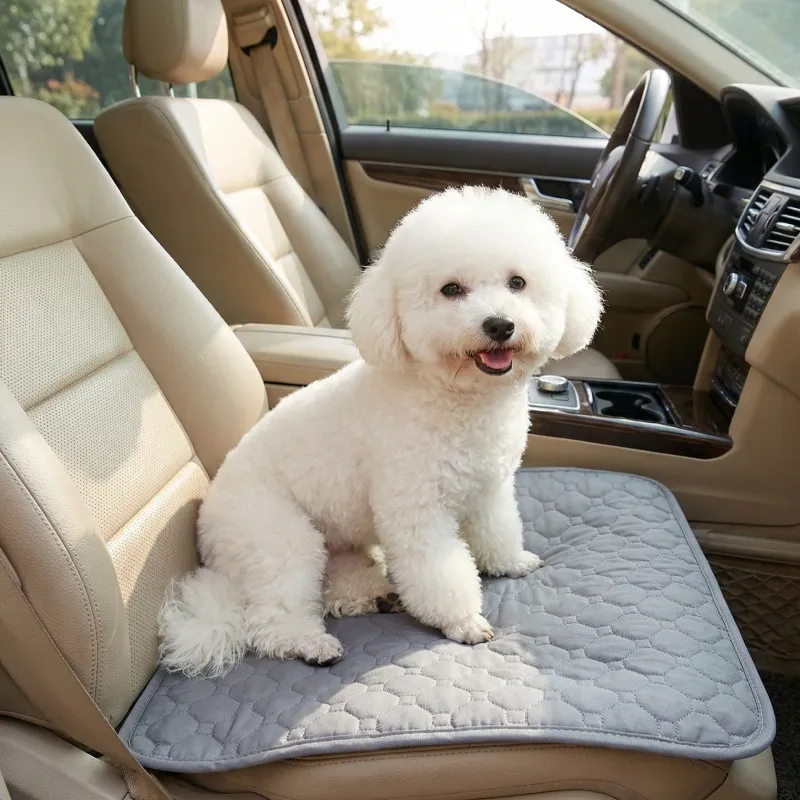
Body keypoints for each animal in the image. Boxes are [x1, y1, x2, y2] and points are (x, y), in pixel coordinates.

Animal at [159, 186, 603, 676]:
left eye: (518, 283)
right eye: (451, 289)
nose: (499, 325)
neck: (456, 399)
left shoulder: (489, 489)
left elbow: (498, 530)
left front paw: (509, 562)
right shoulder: (416, 508)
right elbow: (439, 571)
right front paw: (462, 621)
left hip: (336, 547)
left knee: (334, 585)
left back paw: (373, 595)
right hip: (277, 537)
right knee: (271, 616)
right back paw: (308, 642)